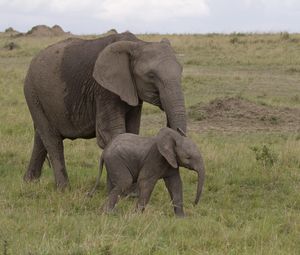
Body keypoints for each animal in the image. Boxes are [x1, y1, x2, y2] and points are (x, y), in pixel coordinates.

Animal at [24, 31, 185, 188]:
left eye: (181, 72)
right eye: (151, 76)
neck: (138, 43)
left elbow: (131, 131)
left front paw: (130, 192)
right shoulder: (104, 90)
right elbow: (111, 133)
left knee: (41, 136)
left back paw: (30, 182)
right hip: (33, 93)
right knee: (52, 140)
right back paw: (63, 189)